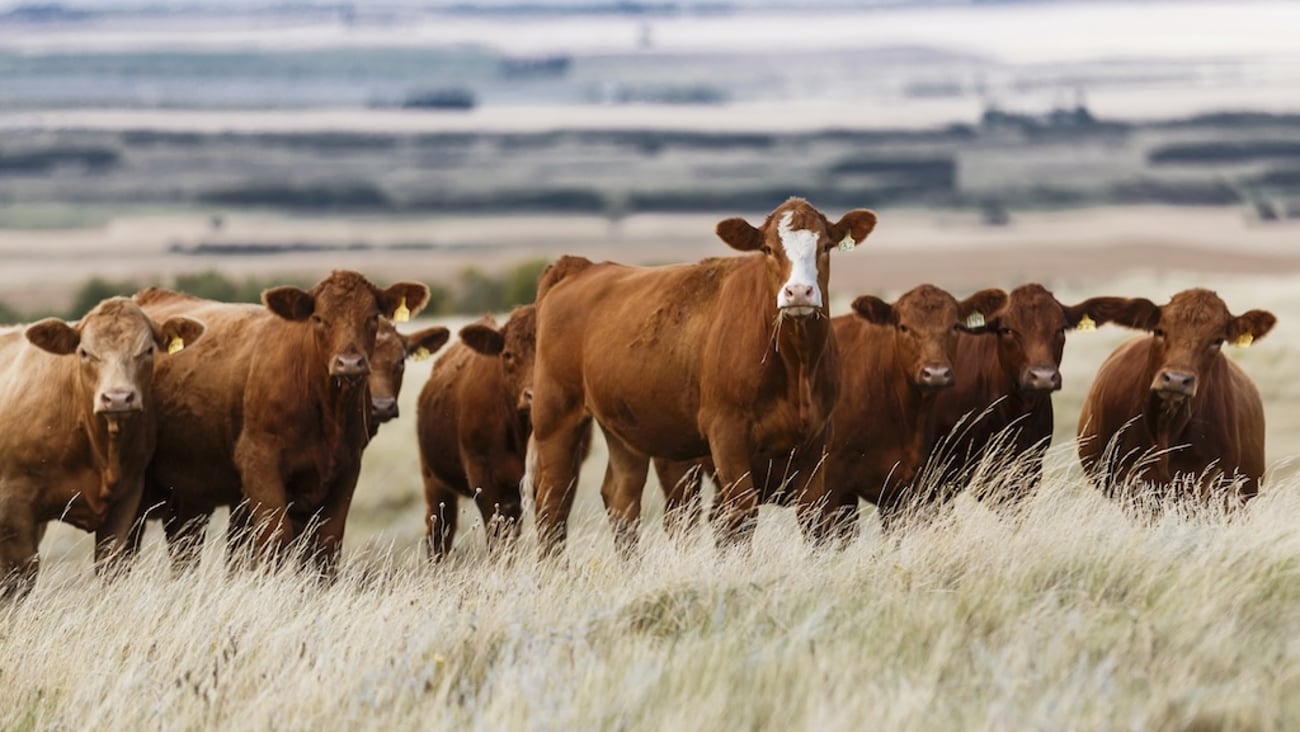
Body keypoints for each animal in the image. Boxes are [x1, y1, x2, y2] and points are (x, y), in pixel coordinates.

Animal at [0, 298, 204, 599]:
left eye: (148, 350)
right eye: (84, 352)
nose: (117, 397)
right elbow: (18, 581)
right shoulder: (14, 507)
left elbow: (112, 568)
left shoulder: (125, 501)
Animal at [131, 271, 429, 576]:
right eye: (318, 317)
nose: (349, 363)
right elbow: (274, 541)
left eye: (372, 316)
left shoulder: (345, 472)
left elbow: (325, 547)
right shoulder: (260, 468)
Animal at [416, 305, 536, 560]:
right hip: (434, 481)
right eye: (507, 354)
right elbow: (497, 535)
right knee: (439, 533)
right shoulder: (483, 477)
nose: (533, 395)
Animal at [528, 197, 878, 557]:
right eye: (768, 248)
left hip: (623, 429)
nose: (798, 292)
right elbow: (741, 514)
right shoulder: (726, 432)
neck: (796, 366)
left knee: (621, 499)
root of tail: (580, 268)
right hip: (555, 416)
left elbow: (813, 517)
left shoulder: (818, 436)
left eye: (825, 246)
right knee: (553, 502)